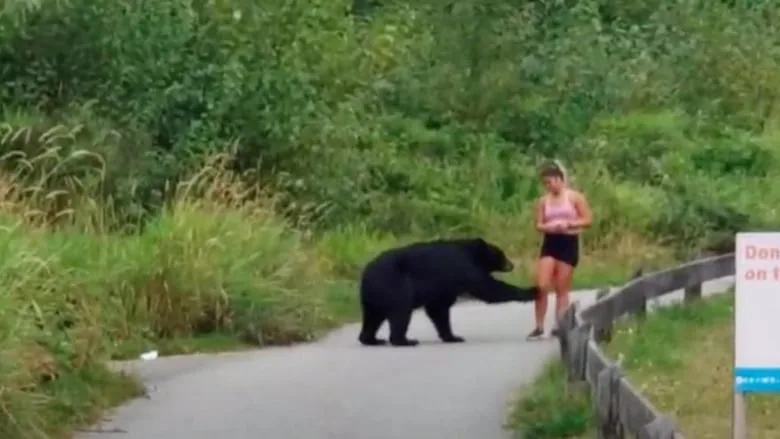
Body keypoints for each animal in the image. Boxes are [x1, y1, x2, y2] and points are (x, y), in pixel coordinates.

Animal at [358, 239, 536, 348]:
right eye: (501, 254)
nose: (511, 265)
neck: (471, 253)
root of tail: (366, 274)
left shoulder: (445, 286)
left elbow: (439, 309)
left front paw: (453, 337)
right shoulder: (463, 268)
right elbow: (488, 289)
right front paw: (532, 291)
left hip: (374, 297)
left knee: (373, 318)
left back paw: (371, 339)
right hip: (395, 285)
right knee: (401, 311)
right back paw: (404, 341)